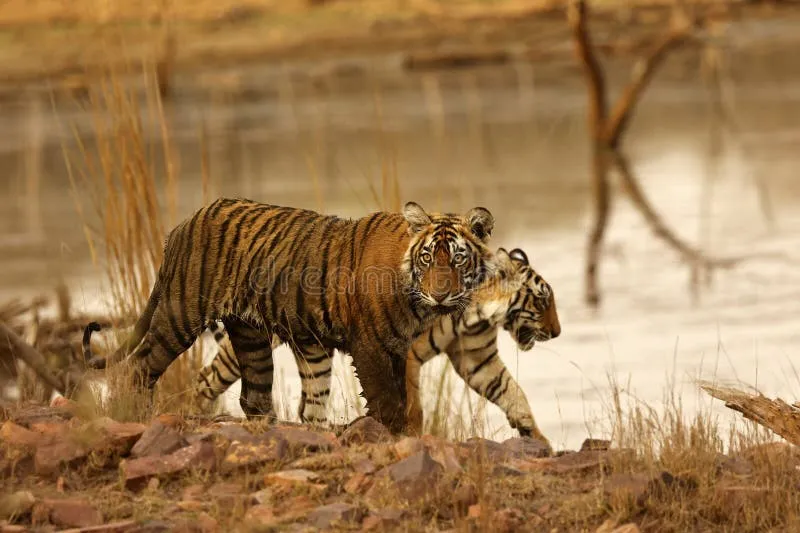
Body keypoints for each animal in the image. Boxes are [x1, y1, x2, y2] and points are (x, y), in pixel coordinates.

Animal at [83, 196, 494, 432]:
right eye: (427, 258)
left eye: (458, 259)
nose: (440, 294)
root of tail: (182, 225)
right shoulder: (370, 347)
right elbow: (387, 402)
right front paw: (391, 437)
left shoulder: (397, 348)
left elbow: (404, 400)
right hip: (180, 314)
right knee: (140, 366)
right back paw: (137, 414)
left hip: (250, 336)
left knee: (255, 396)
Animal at [192, 246, 564, 444]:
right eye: (543, 299)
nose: (558, 332)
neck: (477, 312)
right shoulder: (406, 352)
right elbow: (412, 405)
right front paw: (410, 437)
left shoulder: (476, 356)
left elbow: (512, 392)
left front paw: (537, 438)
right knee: (205, 378)